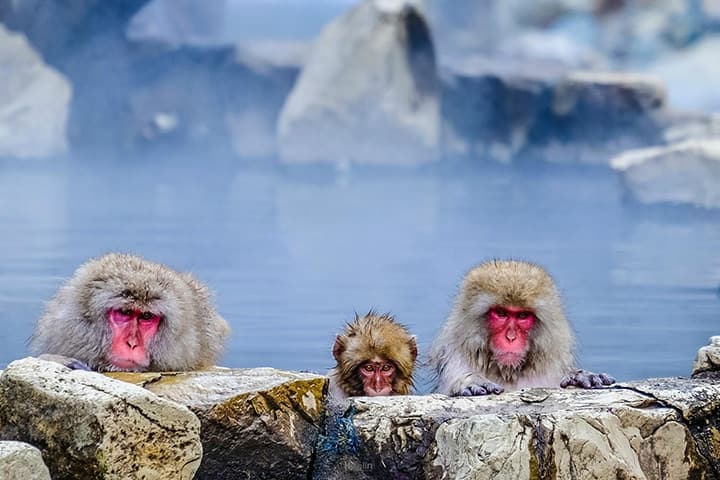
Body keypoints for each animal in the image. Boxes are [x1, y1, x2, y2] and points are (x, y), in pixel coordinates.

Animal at [430, 260, 616, 396]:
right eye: (501, 313)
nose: (511, 337)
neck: (508, 371)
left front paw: (578, 376)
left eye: (522, 315)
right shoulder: (455, 360)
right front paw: (470, 381)